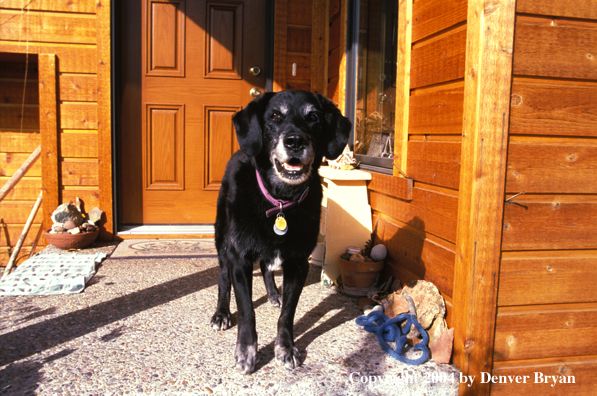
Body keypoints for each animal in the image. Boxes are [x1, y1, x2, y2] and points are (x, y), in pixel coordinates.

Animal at [210, 90, 350, 374]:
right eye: (275, 115)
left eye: (314, 117)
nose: (295, 141)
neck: (281, 201)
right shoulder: (240, 258)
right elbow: (246, 310)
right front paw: (246, 351)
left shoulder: (298, 263)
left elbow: (288, 313)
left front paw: (285, 348)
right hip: (222, 239)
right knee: (223, 277)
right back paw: (221, 313)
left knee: (266, 267)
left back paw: (274, 294)